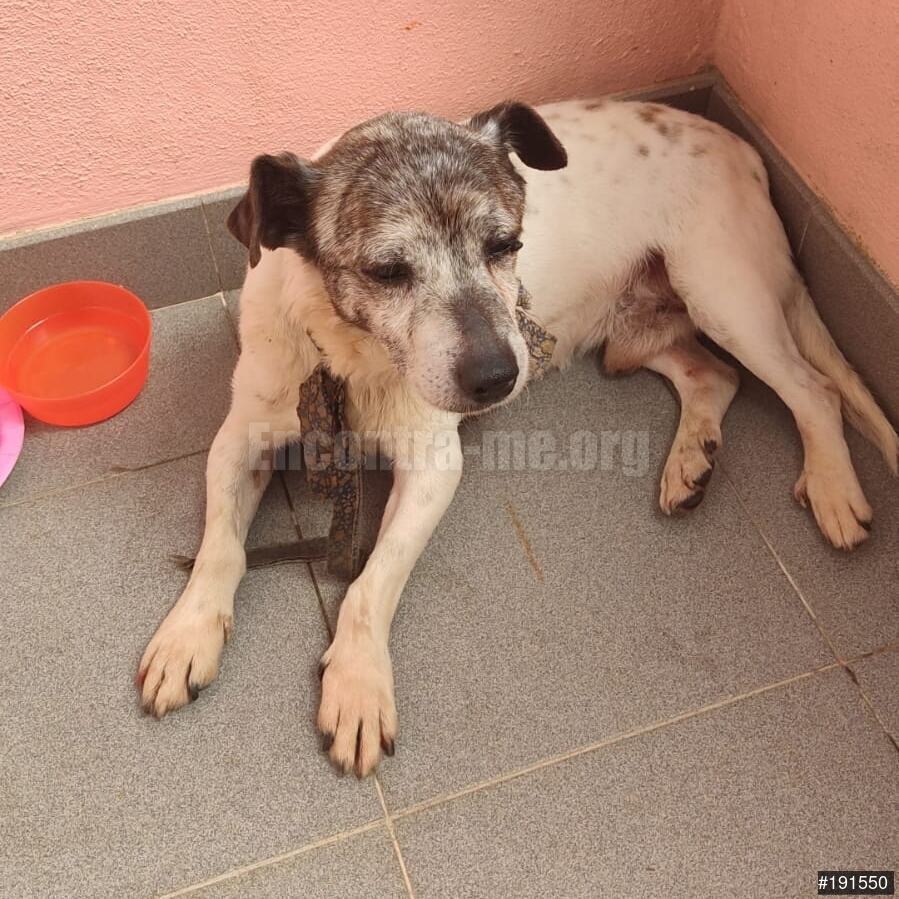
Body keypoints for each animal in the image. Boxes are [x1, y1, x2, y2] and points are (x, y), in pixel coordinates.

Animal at [137, 98, 898, 776]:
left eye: (506, 245)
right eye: (387, 271)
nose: (499, 375)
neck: (352, 359)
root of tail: (741, 147)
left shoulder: (432, 467)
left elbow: (371, 584)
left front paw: (356, 681)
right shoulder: (238, 439)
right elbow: (221, 546)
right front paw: (188, 631)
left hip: (722, 293)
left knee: (814, 389)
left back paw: (833, 487)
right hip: (635, 334)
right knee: (714, 376)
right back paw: (692, 460)